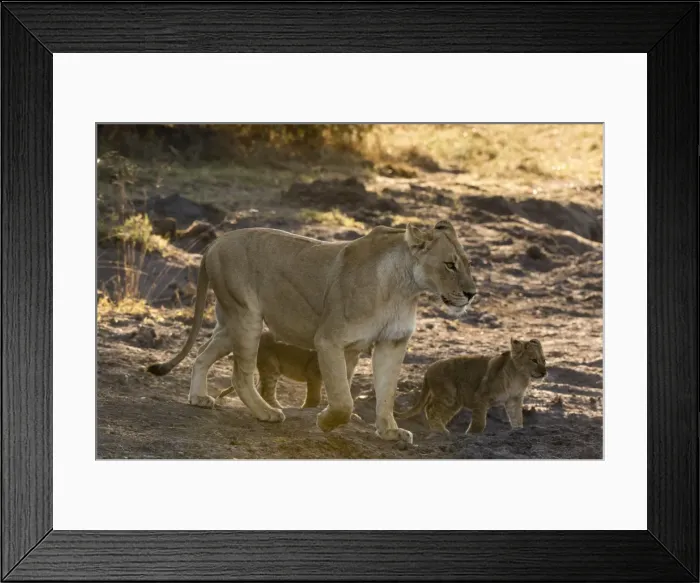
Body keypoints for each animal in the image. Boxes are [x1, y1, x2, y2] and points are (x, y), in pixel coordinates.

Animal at [147, 220, 477, 443]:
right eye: (449, 264)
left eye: (468, 264)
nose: (472, 293)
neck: (404, 289)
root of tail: (214, 243)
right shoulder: (329, 339)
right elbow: (343, 399)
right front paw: (327, 422)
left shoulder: (391, 343)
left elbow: (386, 392)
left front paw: (389, 431)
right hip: (246, 316)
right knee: (239, 375)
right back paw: (266, 412)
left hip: (230, 324)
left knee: (202, 356)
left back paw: (198, 397)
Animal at [395, 338, 547, 434]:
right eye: (534, 360)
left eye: (544, 360)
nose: (544, 372)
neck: (519, 376)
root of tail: (428, 369)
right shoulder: (481, 395)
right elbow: (480, 421)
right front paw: (472, 433)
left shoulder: (514, 399)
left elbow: (517, 417)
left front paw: (518, 430)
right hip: (448, 395)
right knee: (431, 408)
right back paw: (441, 431)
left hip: (454, 402)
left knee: (437, 411)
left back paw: (439, 430)